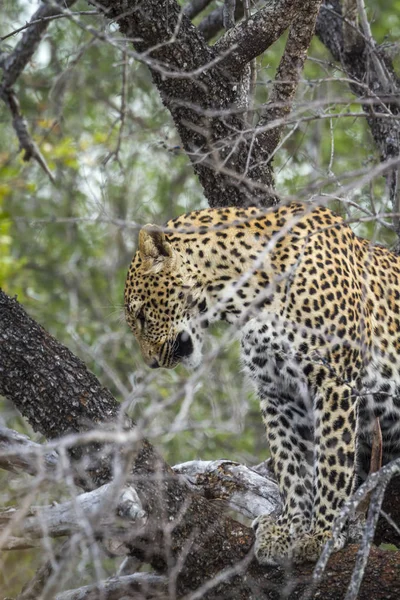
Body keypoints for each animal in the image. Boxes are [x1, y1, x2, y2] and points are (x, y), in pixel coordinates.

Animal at [124, 200, 400, 564]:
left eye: (142, 315)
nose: (152, 362)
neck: (244, 297)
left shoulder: (334, 381)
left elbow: (331, 461)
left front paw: (322, 533)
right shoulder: (278, 392)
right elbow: (290, 463)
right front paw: (290, 526)